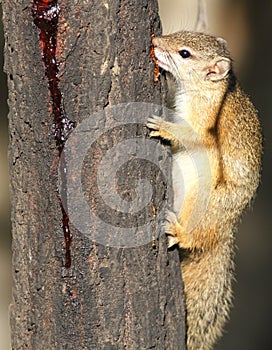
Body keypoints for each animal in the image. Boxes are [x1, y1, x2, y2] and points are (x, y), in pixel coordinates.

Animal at [148, 30, 262, 350]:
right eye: (178, 34)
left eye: (185, 53)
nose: (156, 41)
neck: (210, 89)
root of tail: (225, 230)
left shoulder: (205, 123)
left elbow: (193, 135)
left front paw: (164, 126)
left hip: (204, 202)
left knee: (192, 238)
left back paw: (179, 231)